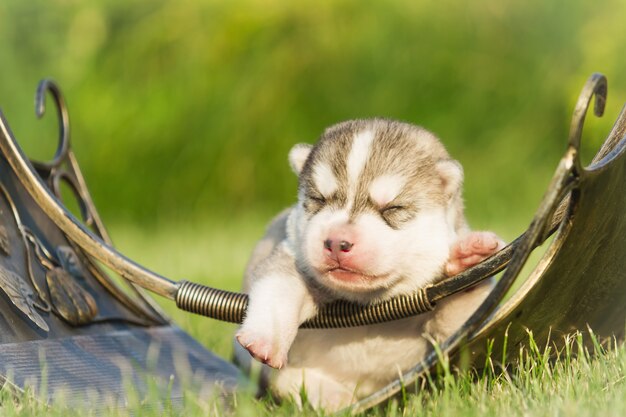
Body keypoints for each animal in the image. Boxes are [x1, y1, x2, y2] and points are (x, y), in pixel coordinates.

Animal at [234, 118, 502, 410]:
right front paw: (266, 338)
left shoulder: (454, 342)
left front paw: (468, 259)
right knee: (288, 381)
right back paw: (332, 397)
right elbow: (279, 287)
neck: (368, 303)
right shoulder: (291, 256)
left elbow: (465, 330)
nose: (337, 242)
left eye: (392, 208)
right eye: (318, 200)